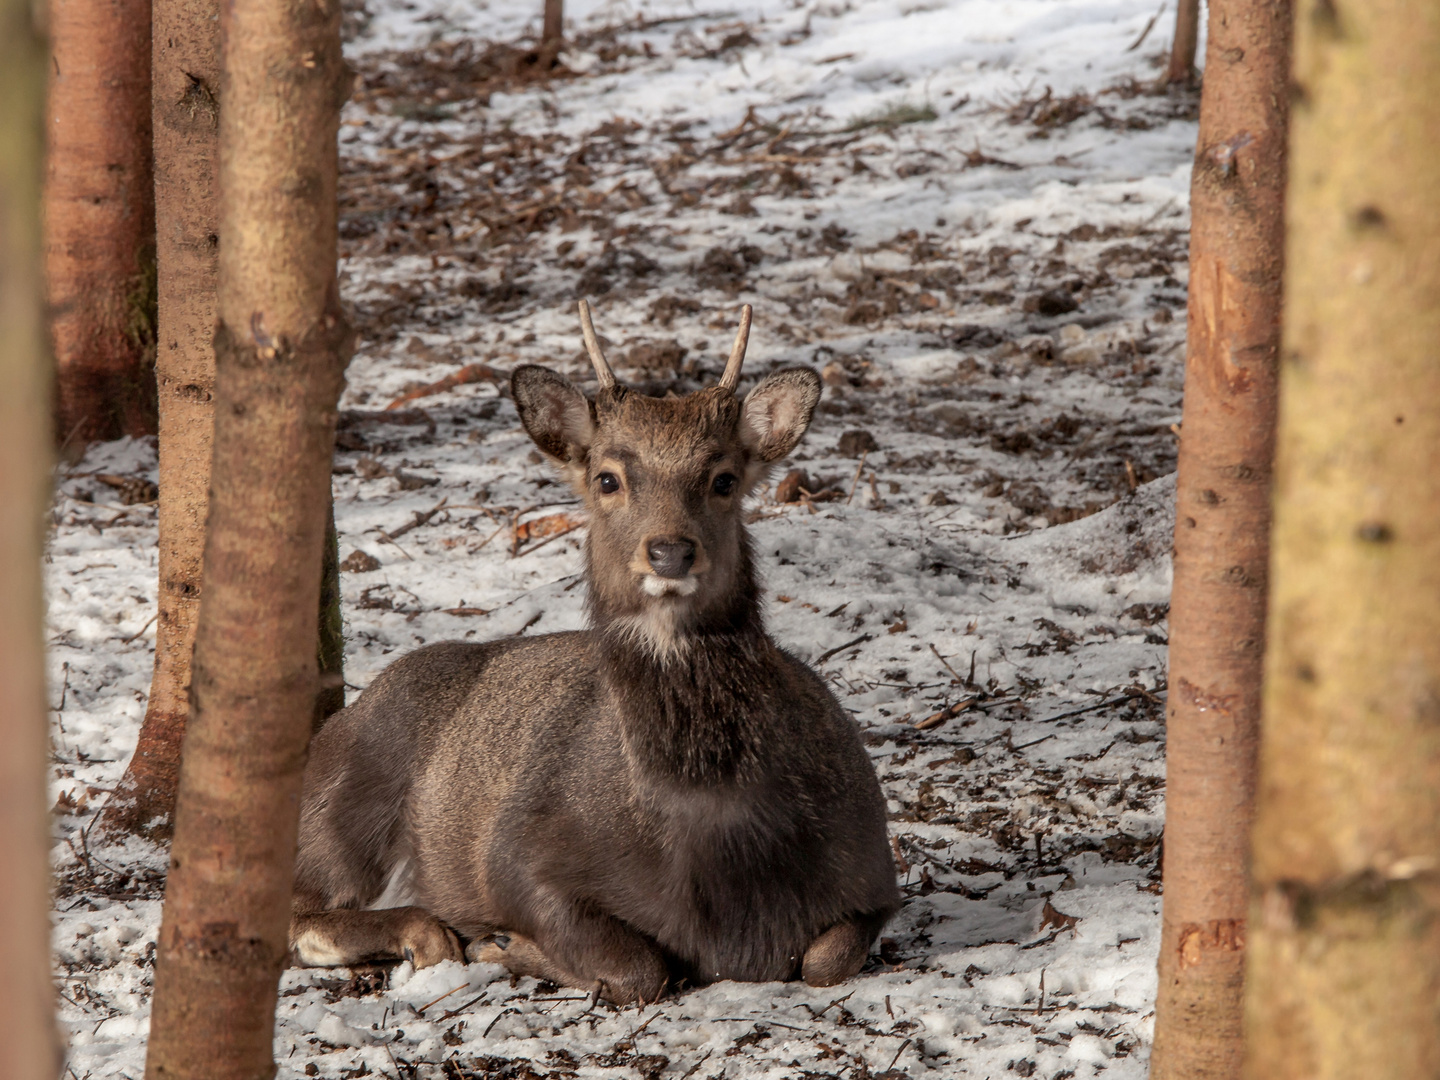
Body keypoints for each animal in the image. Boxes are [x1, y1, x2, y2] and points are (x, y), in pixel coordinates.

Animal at [288, 298, 898, 1008]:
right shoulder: (518, 856)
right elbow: (638, 968)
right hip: (348, 794)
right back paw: (429, 934)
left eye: (723, 479)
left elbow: (826, 958)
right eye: (608, 478)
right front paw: (504, 944)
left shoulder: (873, 871)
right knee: (301, 913)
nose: (670, 550)